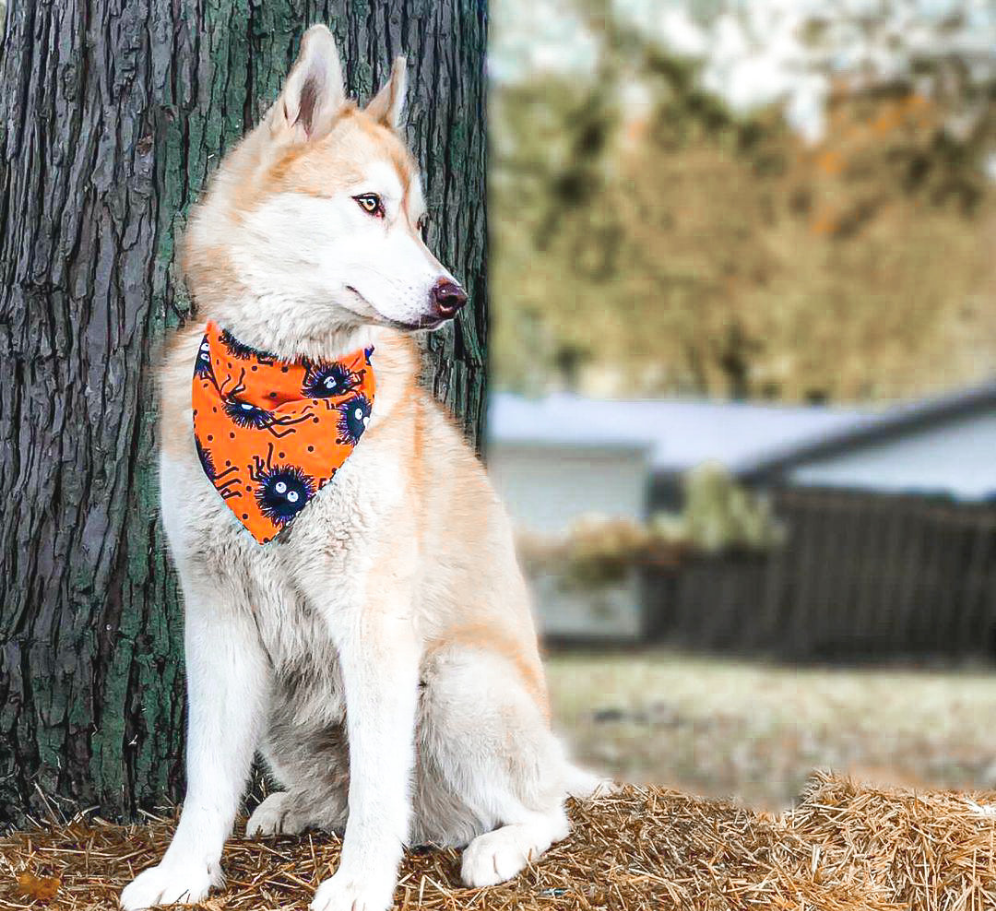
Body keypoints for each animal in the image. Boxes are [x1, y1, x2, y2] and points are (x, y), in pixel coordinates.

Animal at [117, 21, 600, 911]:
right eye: (369, 204)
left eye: (418, 219)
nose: (452, 296)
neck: (278, 389)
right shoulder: (217, 614)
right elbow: (207, 772)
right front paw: (184, 870)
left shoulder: (373, 620)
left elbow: (381, 786)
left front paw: (362, 883)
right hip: (290, 702)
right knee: (342, 790)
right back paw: (292, 805)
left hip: (453, 677)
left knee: (541, 812)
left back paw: (496, 847)